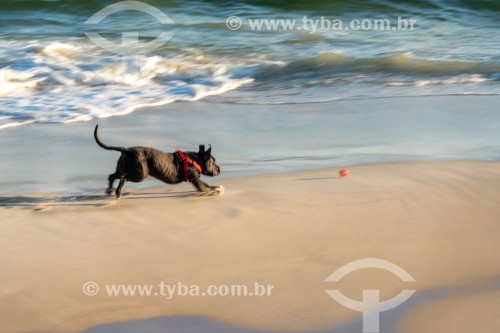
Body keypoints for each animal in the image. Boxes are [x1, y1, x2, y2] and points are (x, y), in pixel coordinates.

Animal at [93, 124, 221, 197]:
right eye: (214, 161)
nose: (219, 169)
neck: (196, 160)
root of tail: (127, 150)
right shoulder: (195, 179)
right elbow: (205, 186)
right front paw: (215, 190)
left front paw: (215, 188)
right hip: (140, 174)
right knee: (123, 179)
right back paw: (118, 193)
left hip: (122, 168)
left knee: (112, 176)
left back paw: (109, 191)